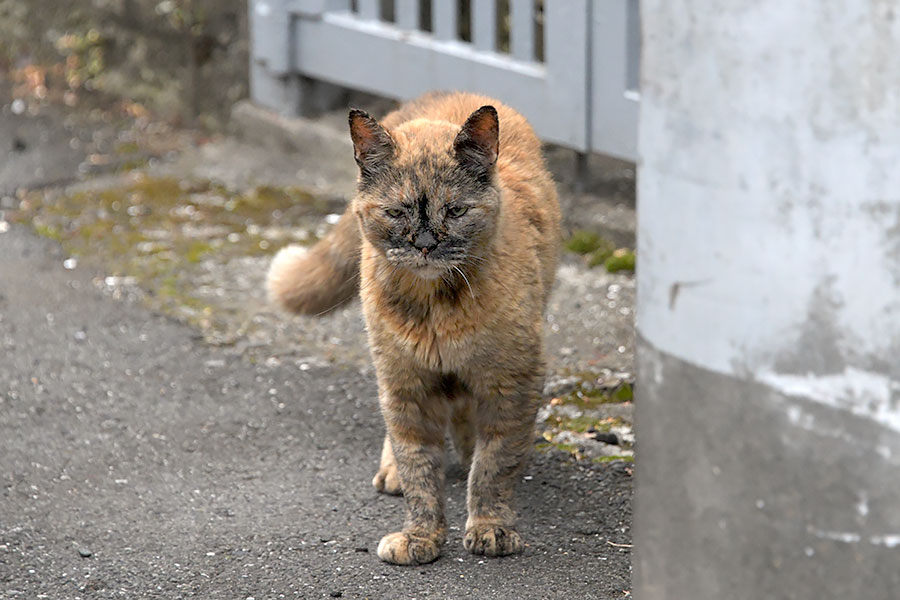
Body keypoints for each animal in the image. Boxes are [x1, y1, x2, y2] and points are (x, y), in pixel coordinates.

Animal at [268, 91, 560, 564]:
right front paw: (421, 536)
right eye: (396, 211)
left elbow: (494, 465)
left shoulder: (512, 382)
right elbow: (419, 470)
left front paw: (490, 527)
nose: (424, 245)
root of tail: (444, 96)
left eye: (455, 210)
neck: (435, 309)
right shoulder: (407, 388)